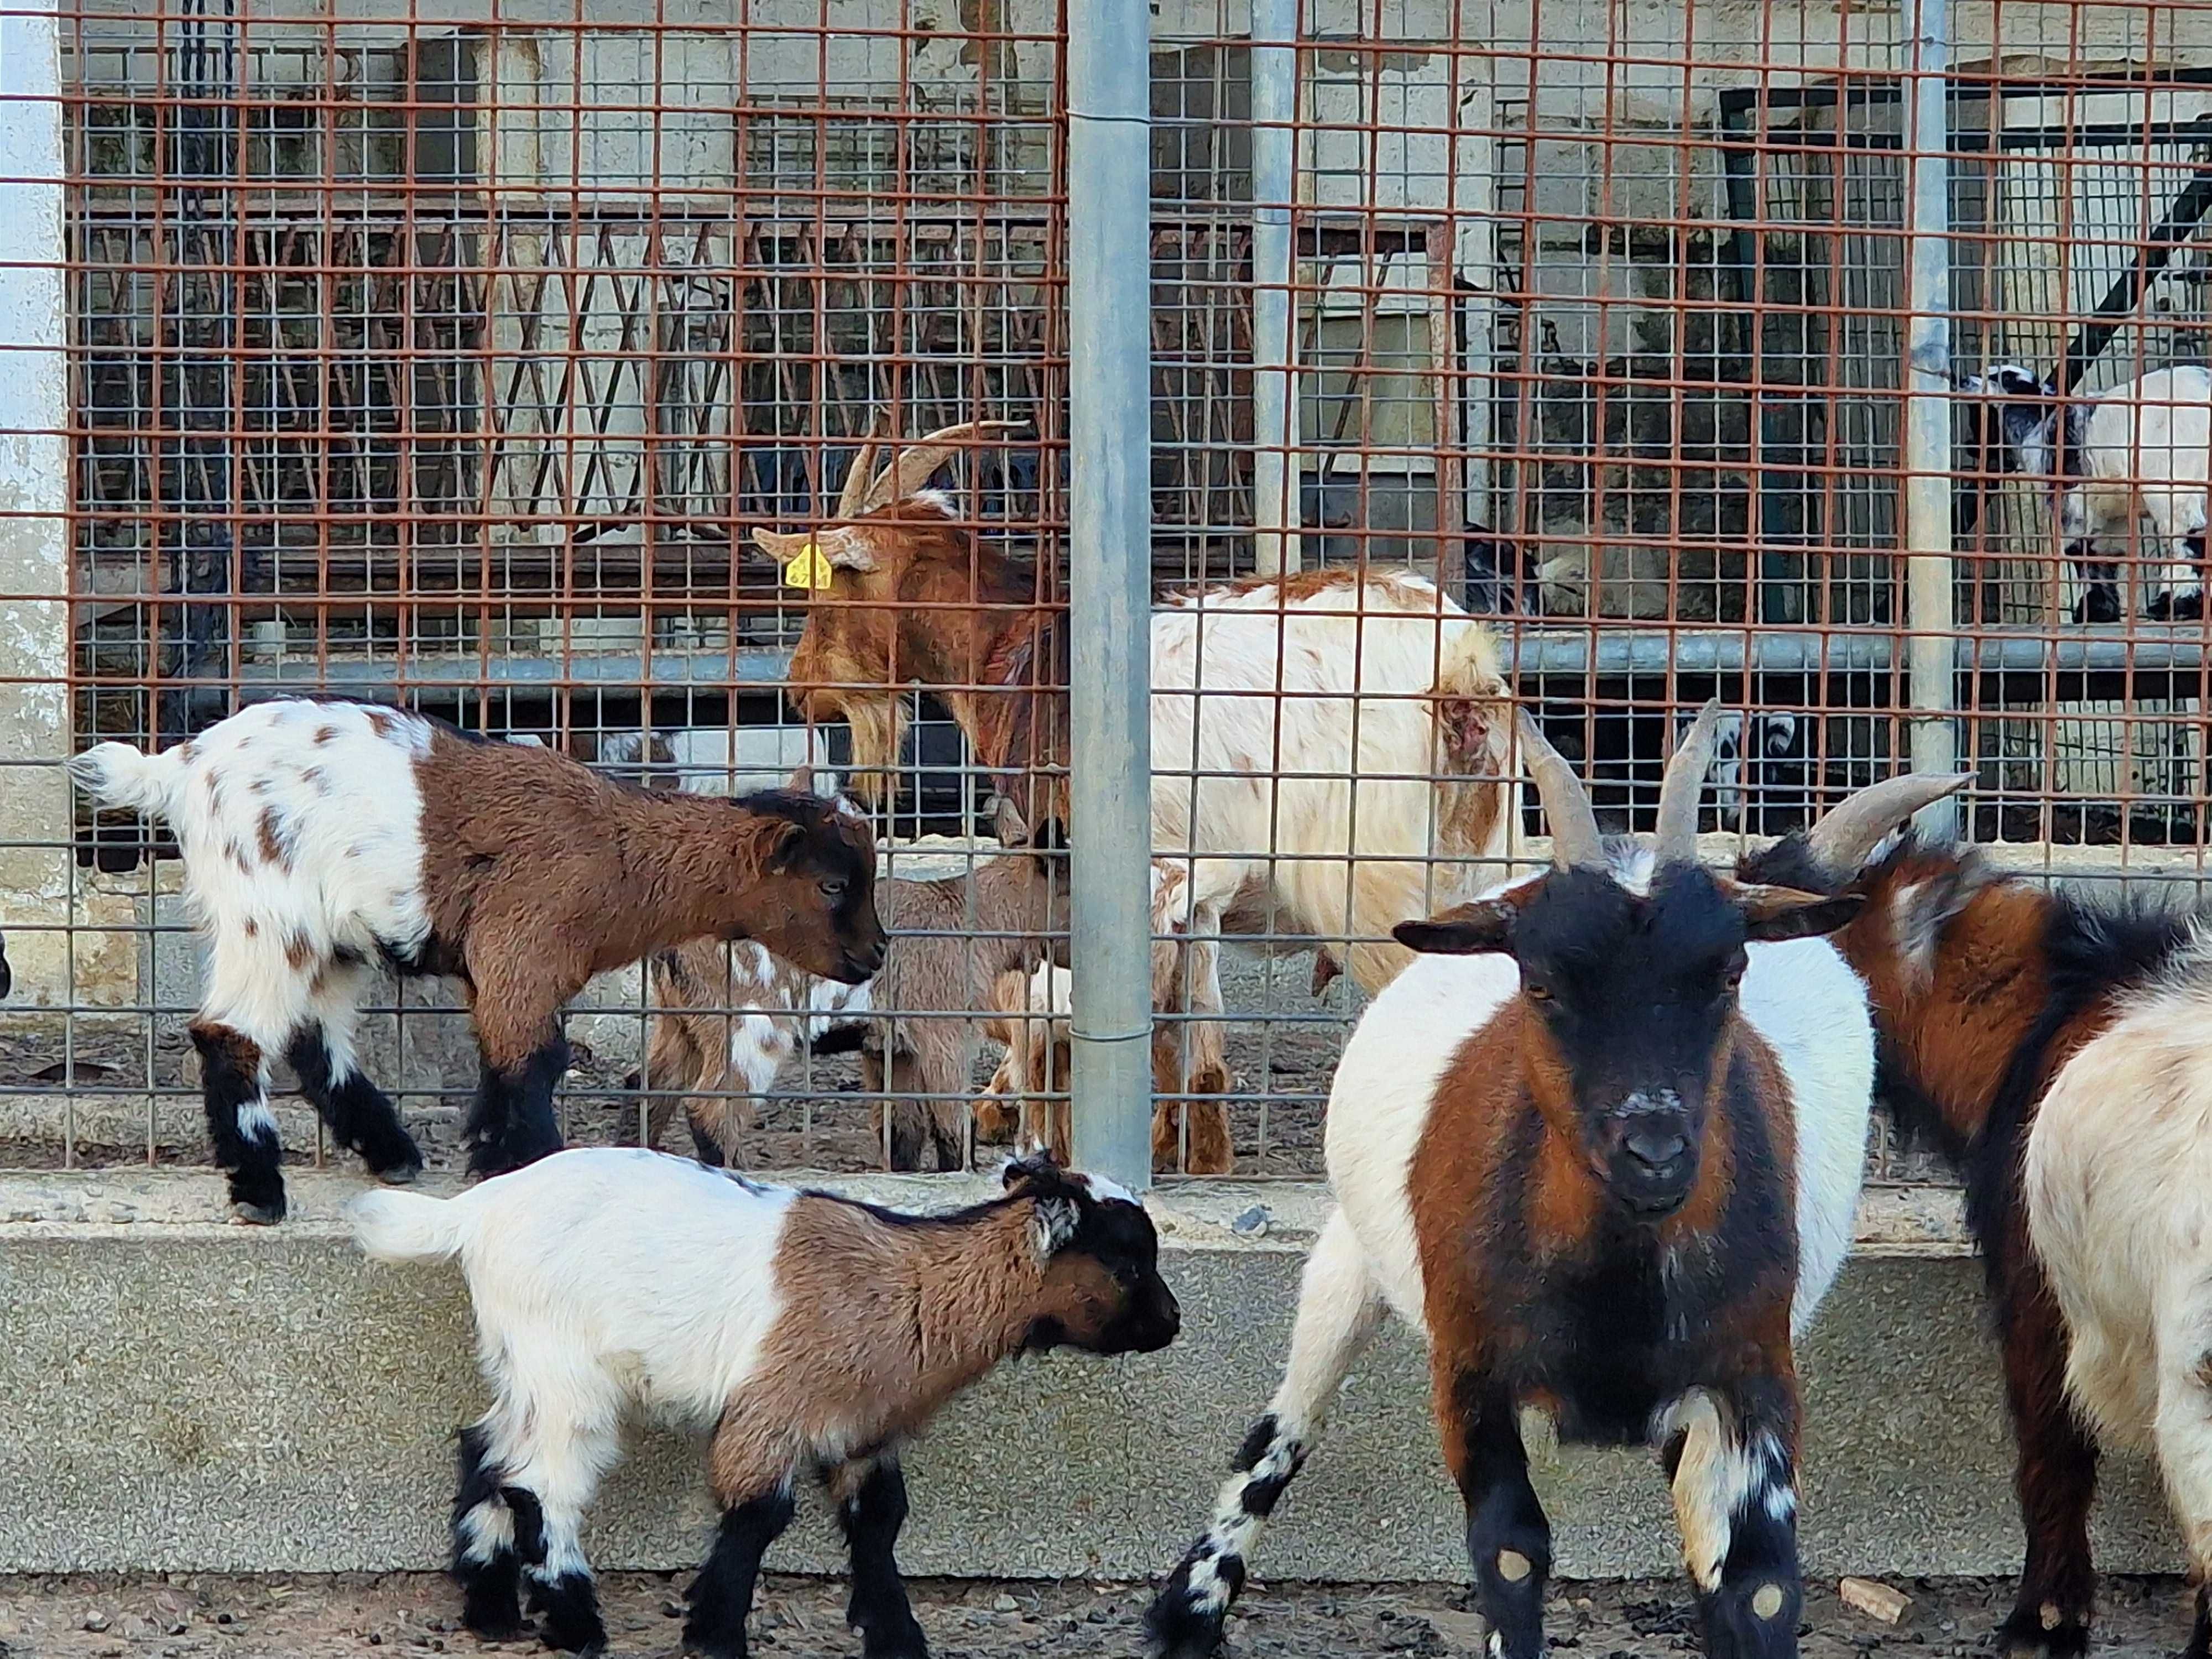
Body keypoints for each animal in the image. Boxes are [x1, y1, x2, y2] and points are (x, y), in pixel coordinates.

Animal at [69, 703, 880, 1221]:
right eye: (832, 885)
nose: (875, 955)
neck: (619, 853)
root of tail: (179, 767)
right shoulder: (525, 946)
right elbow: (534, 1060)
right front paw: (534, 1164)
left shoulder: (513, 969)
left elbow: (505, 1058)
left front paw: (491, 1159)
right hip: (265, 911)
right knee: (231, 1035)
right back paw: (259, 1192)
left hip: (322, 935)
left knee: (312, 1037)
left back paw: (391, 1152)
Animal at [349, 1150, 1177, 1659]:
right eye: (1129, 1260)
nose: (1171, 1325)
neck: (908, 1283)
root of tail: (473, 1213)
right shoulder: (774, 1408)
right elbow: (758, 1513)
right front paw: (713, 1635)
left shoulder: (863, 1430)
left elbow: (879, 1522)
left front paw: (896, 1638)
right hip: (564, 1366)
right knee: (540, 1484)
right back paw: (576, 1625)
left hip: (524, 1364)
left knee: (484, 1449)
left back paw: (492, 1612)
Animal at [1150, 712, 1947, 1659]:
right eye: (1540, 982)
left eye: (1729, 974)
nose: (1654, 1151)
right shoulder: (1469, 1374)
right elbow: (1511, 1554)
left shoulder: (1753, 1374)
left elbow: (1756, 1581)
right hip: (1350, 1254)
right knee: (1286, 1425)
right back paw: (1191, 1611)